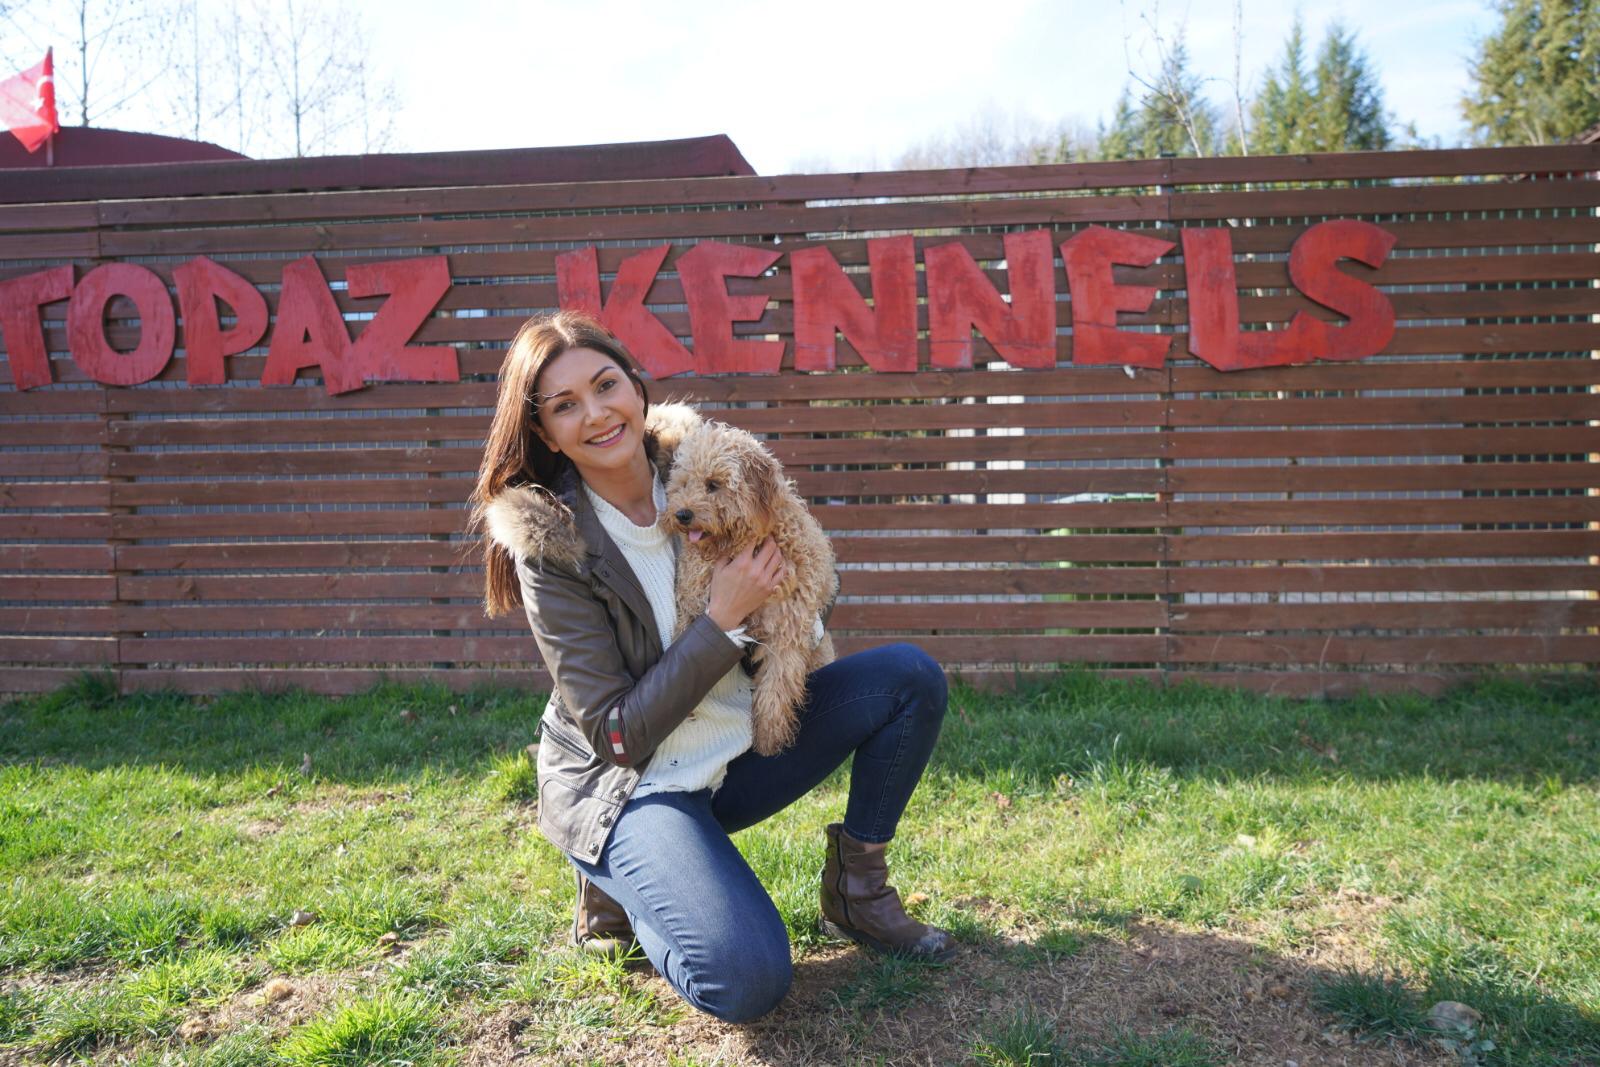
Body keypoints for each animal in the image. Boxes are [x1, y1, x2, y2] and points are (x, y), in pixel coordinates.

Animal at [660, 417, 838, 756]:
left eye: (713, 484)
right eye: (684, 483)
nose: (682, 514)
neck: (740, 544)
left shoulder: (788, 627)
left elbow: (776, 686)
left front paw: (768, 738)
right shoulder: (692, 602)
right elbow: (683, 644)